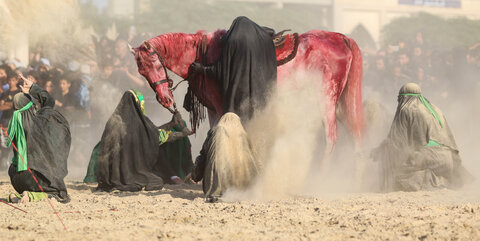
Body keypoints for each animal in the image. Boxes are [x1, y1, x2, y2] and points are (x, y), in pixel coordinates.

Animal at [131, 28, 364, 149]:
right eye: (141, 71)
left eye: (154, 65)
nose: (165, 100)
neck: (203, 54)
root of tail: (341, 37)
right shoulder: (214, 109)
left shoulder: (221, 106)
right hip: (340, 104)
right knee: (355, 135)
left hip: (326, 101)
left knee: (331, 137)